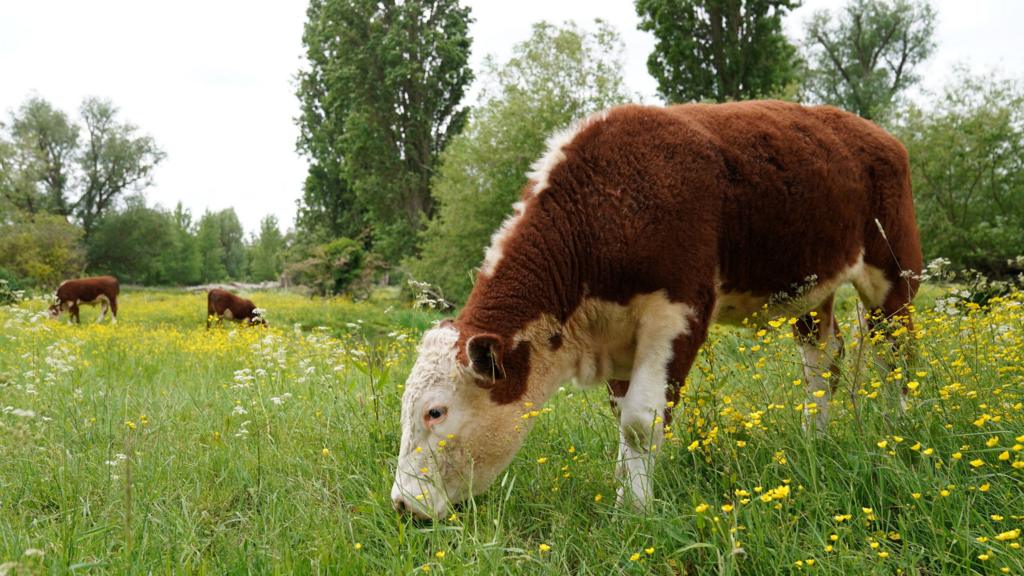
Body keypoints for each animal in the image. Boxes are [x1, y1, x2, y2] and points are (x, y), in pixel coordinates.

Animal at [391, 101, 923, 519]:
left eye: (435, 411)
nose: (401, 504)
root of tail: (874, 133)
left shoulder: (680, 311)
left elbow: (641, 422)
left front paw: (636, 509)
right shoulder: (615, 335)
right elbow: (621, 414)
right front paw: (623, 487)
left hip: (894, 271)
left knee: (897, 354)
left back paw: (900, 432)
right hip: (810, 293)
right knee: (822, 364)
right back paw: (815, 437)